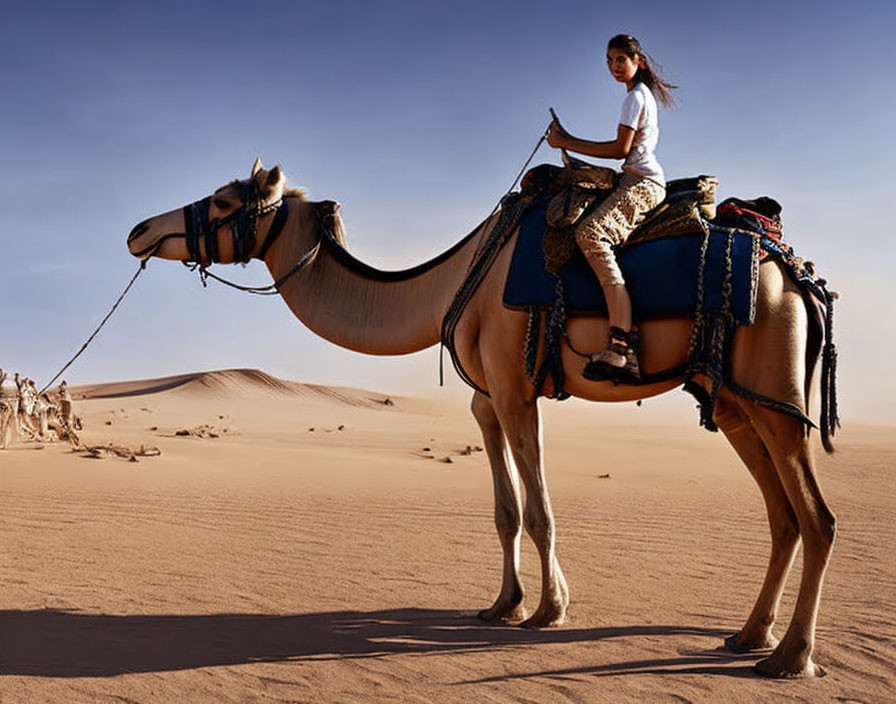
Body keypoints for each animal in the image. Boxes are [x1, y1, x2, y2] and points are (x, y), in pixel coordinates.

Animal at [128, 158, 840, 676]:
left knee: (817, 517)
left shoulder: (518, 387)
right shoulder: (486, 400)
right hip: (736, 401)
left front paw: (550, 611)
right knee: (782, 515)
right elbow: (505, 511)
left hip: (772, 389)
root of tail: (798, 276)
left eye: (226, 201)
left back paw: (789, 657)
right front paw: (503, 605)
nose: (139, 230)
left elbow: (539, 509)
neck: (450, 282)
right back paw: (748, 635)